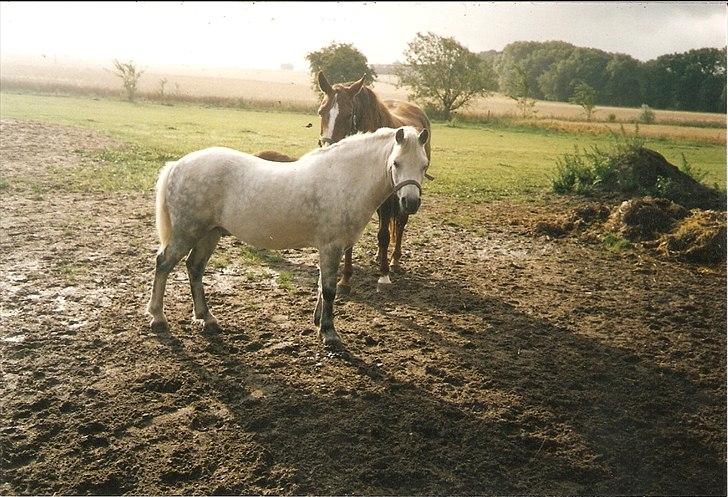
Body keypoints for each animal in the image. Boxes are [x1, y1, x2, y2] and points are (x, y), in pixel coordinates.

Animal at [146, 126, 430, 346]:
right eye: (396, 163)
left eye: (424, 165)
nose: (411, 203)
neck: (344, 178)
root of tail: (178, 165)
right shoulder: (331, 246)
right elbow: (329, 289)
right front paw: (329, 333)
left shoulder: (329, 248)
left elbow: (321, 285)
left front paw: (318, 322)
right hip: (187, 232)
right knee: (164, 264)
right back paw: (158, 317)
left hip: (210, 234)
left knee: (194, 268)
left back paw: (207, 318)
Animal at [314, 71, 430, 292]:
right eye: (321, 112)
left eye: (349, 114)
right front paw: (345, 279)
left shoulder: (391, 199)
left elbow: (384, 235)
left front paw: (383, 277)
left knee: (400, 224)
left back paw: (394, 261)